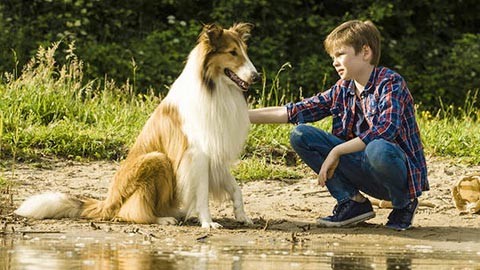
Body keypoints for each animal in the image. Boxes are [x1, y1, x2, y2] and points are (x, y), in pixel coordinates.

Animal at [15, 23, 258, 230]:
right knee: (131, 212)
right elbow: (202, 194)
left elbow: (235, 188)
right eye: (232, 52)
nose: (256, 76)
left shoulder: (215, 152)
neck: (215, 88)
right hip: (156, 159)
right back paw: (162, 219)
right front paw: (207, 222)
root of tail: (108, 202)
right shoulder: (197, 153)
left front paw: (242, 216)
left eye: (245, 52)